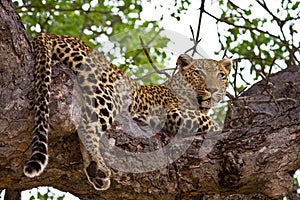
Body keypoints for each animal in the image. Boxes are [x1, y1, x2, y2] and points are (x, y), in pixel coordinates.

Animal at [24, 32, 232, 191]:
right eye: (198, 73)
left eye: (221, 75)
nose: (213, 90)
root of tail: (54, 34)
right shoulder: (173, 112)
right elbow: (208, 121)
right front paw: (218, 127)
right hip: (107, 92)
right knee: (87, 124)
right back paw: (99, 166)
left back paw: (95, 171)